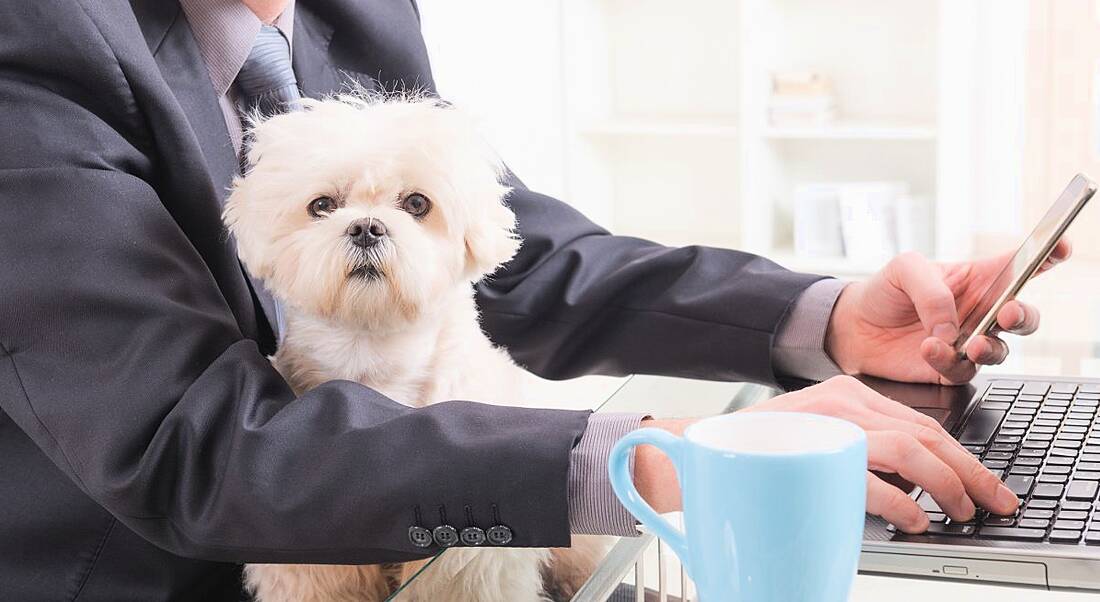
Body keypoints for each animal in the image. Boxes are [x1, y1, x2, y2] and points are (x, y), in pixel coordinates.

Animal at [222, 95, 602, 602]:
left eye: (417, 203)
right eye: (322, 205)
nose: (366, 227)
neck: (374, 357)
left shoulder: (469, 563)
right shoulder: (307, 557)